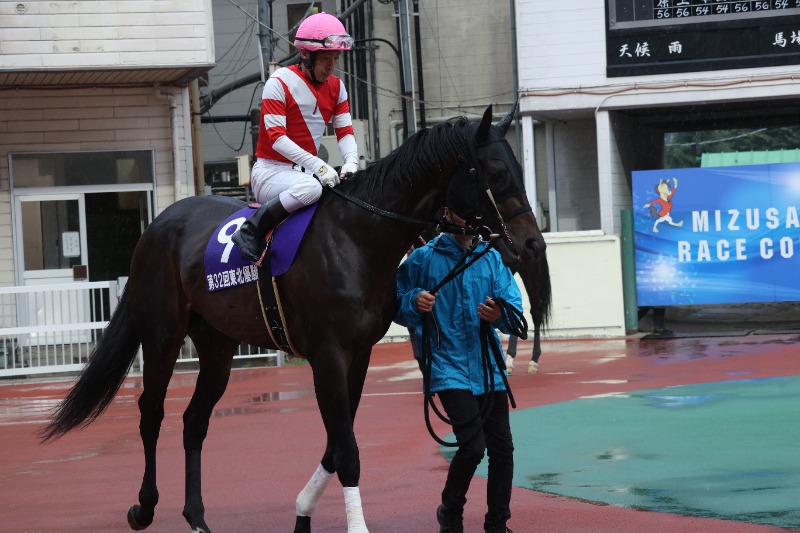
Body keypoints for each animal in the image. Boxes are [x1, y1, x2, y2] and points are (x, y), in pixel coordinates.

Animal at [40, 105, 548, 532]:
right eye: (497, 172)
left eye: (520, 170)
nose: (532, 245)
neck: (356, 237)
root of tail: (159, 224)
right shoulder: (326, 355)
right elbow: (347, 451)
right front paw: (353, 525)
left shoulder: (357, 355)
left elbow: (336, 445)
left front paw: (303, 509)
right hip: (162, 335)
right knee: (151, 413)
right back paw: (144, 507)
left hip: (218, 346)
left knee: (194, 420)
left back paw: (197, 517)